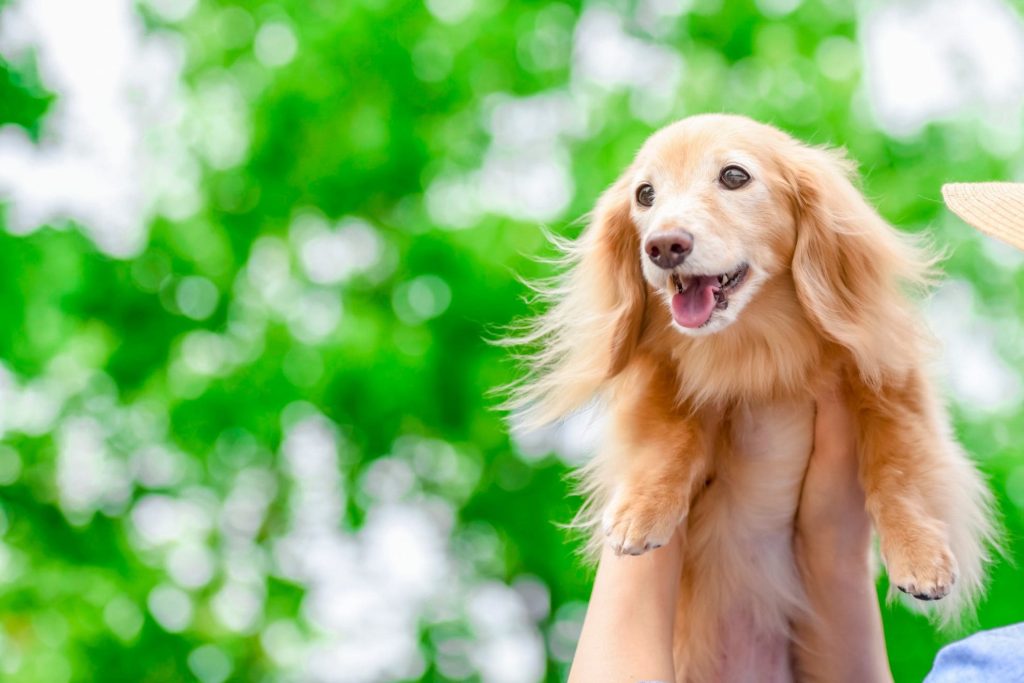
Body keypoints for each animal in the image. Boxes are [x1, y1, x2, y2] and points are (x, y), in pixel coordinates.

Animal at [507, 114, 995, 679]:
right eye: (645, 194)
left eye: (734, 176)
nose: (663, 246)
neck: (753, 350)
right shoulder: (661, 376)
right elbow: (670, 433)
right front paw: (642, 511)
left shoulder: (891, 382)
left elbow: (897, 468)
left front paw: (919, 554)